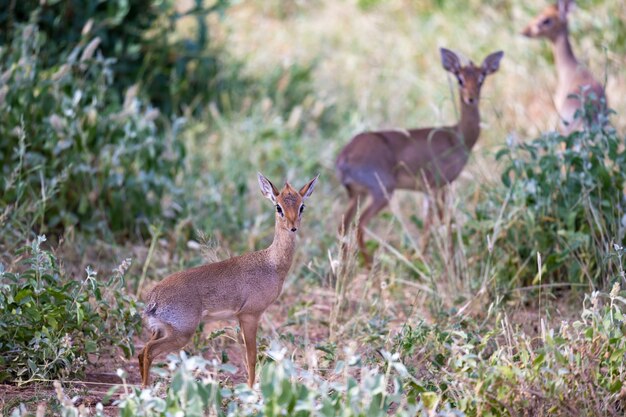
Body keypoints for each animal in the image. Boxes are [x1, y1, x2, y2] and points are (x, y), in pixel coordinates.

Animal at [140, 172, 320, 386]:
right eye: (278, 207)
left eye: (302, 206)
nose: (293, 227)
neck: (271, 264)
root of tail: (154, 298)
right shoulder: (250, 315)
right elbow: (251, 357)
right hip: (181, 333)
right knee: (148, 351)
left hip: (160, 330)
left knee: (142, 352)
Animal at [336, 48, 502, 264]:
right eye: (460, 78)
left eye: (482, 78)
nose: (471, 98)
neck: (457, 137)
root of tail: (344, 157)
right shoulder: (437, 186)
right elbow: (440, 224)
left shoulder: (429, 190)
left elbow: (431, 225)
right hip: (382, 192)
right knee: (360, 226)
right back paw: (371, 264)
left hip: (358, 195)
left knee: (343, 226)